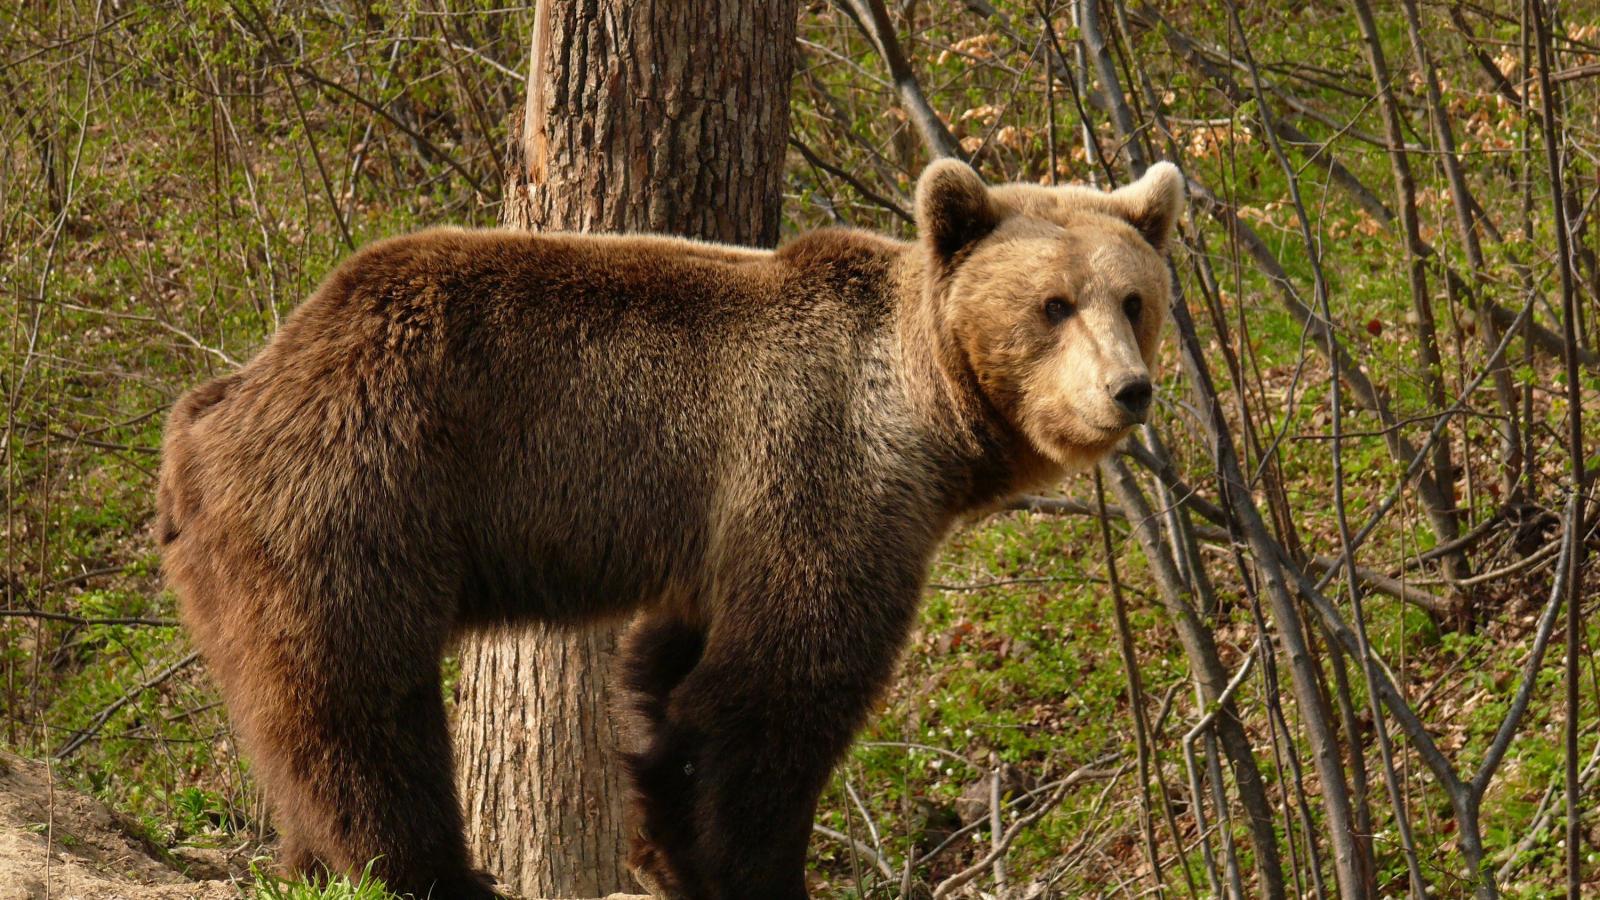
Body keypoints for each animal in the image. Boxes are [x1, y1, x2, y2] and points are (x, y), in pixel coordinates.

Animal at [156, 157, 1184, 890]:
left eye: (1134, 299)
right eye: (1053, 305)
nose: (1128, 390)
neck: (928, 420)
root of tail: (223, 403)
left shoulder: (719, 527)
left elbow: (670, 677)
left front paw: (663, 831)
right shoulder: (824, 473)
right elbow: (779, 688)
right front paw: (748, 867)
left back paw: (309, 863)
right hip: (359, 483)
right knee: (355, 695)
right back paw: (429, 871)